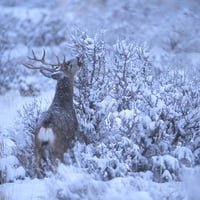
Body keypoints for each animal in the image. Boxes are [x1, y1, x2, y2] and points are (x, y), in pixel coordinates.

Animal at [23, 49, 83, 177]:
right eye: (69, 64)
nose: (78, 57)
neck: (62, 103)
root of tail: (46, 126)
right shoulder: (73, 136)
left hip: (36, 146)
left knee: (36, 168)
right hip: (57, 147)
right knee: (55, 167)